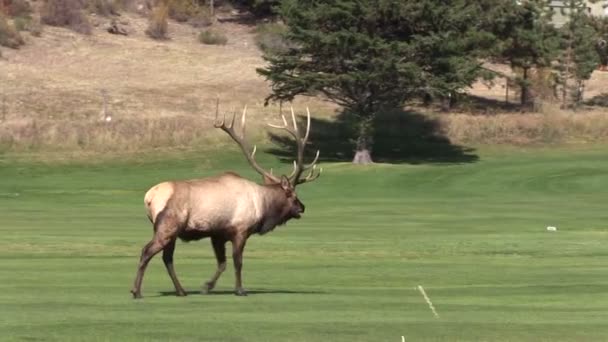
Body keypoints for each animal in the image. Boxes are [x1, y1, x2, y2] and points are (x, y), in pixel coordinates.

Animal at [130, 104, 320, 300]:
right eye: (293, 195)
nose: (302, 207)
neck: (263, 206)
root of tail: (149, 197)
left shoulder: (217, 234)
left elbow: (222, 263)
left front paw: (206, 286)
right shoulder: (241, 230)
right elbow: (238, 262)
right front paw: (240, 290)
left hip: (171, 231)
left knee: (167, 257)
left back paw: (181, 291)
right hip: (168, 225)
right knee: (147, 251)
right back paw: (137, 291)